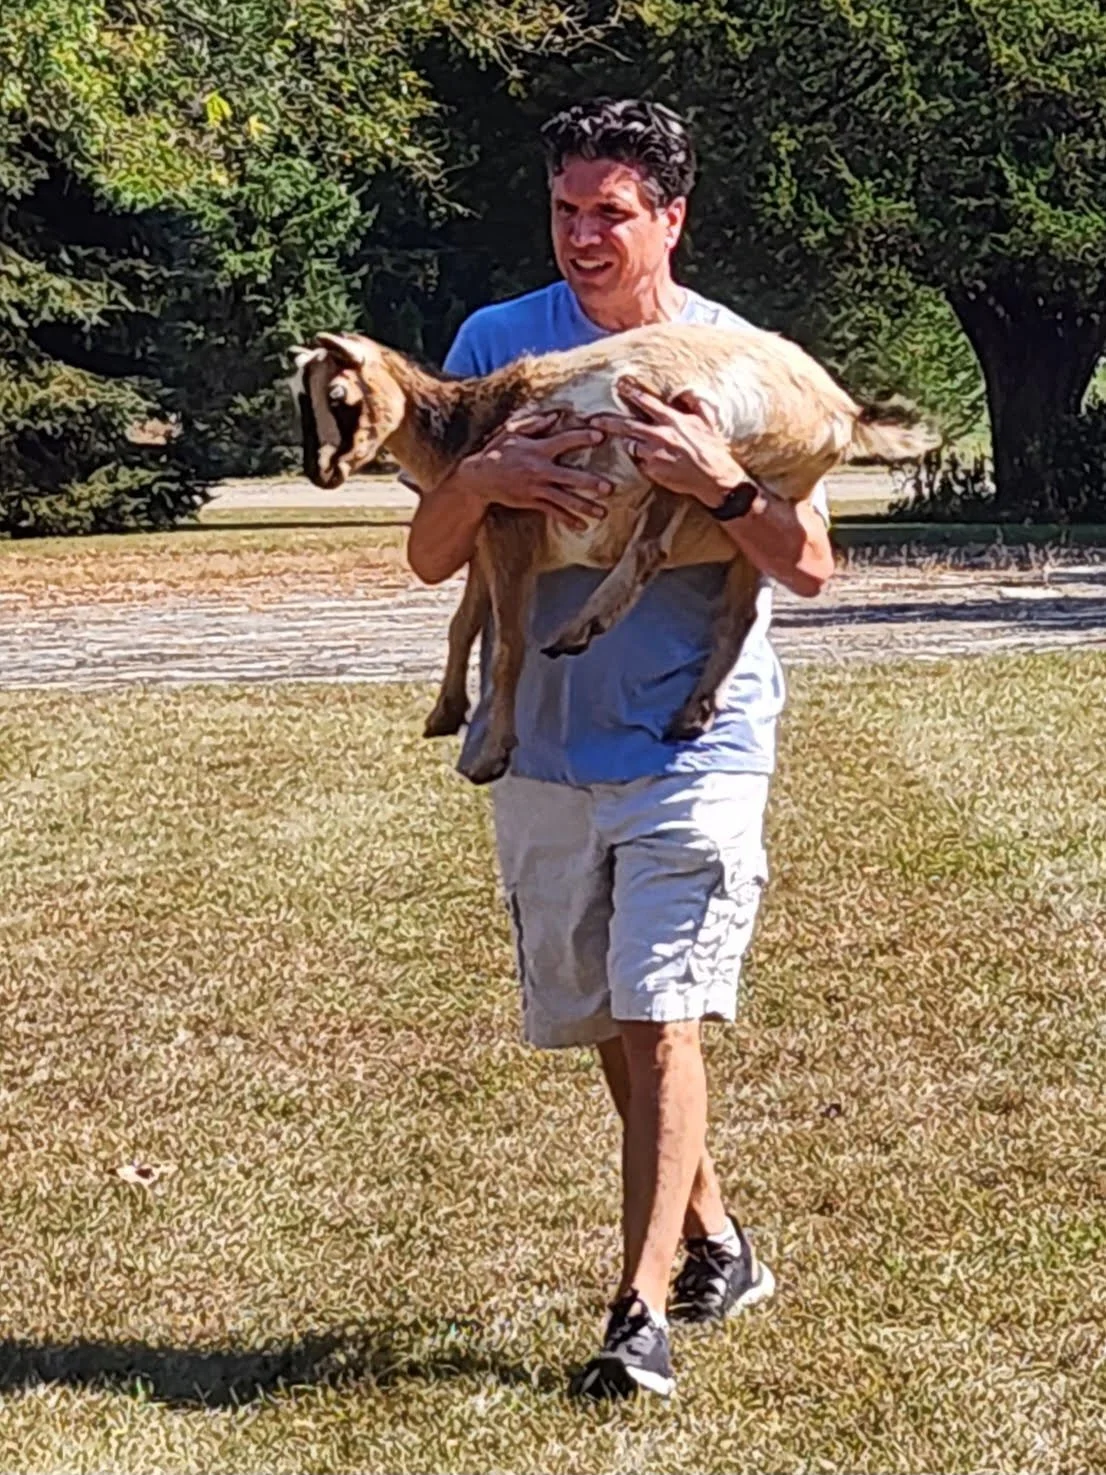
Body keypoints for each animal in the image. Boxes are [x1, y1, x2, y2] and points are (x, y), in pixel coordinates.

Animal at [293, 323, 936, 784]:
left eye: (339, 397)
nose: (321, 473)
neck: (473, 426)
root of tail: (838, 410)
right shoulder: (485, 537)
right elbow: (463, 624)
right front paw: (444, 714)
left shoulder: (513, 525)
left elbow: (508, 648)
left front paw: (490, 756)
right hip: (758, 515)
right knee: (739, 615)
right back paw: (689, 714)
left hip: (681, 445)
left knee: (651, 548)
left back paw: (581, 628)